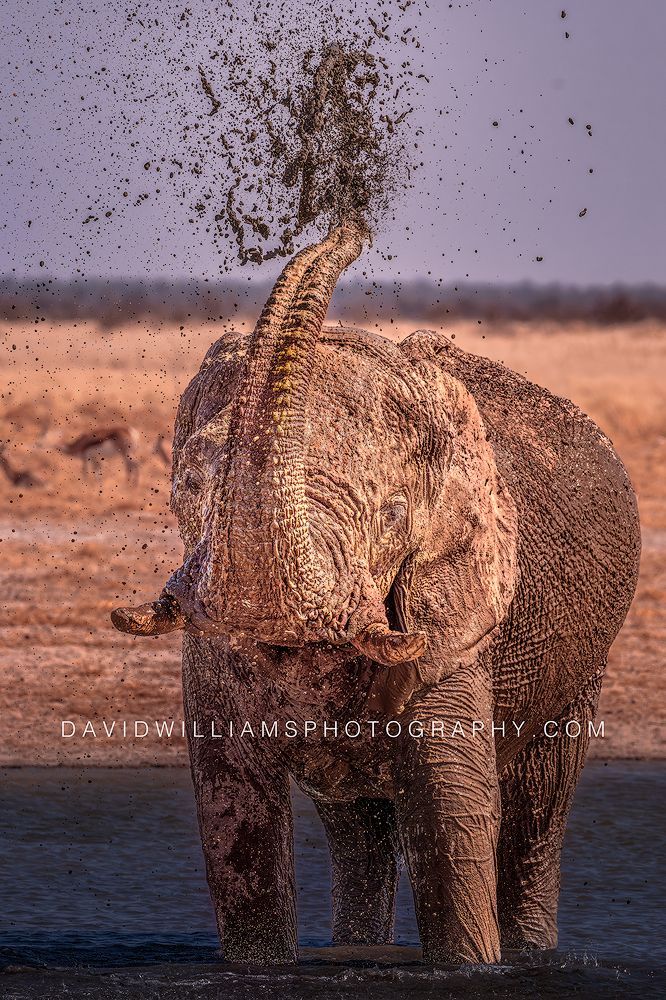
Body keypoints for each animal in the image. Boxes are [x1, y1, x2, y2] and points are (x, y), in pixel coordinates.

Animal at [112, 221, 640, 965]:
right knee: (356, 824)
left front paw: (474, 969)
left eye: (392, 515)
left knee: (540, 805)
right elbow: (235, 815)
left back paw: (532, 953)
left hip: (583, 662)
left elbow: (453, 818)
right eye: (189, 488)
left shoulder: (456, 616)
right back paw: (357, 952)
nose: (348, 226)